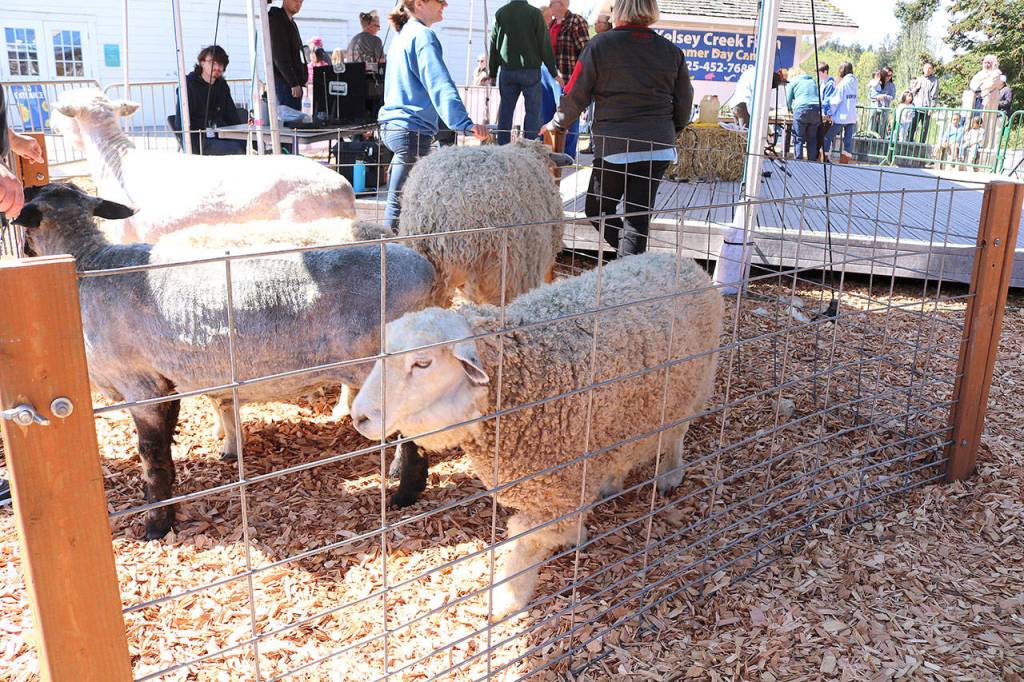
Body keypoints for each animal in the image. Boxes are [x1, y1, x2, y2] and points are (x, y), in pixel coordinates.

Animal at [16, 182, 439, 539]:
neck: (90, 266)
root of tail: (425, 270)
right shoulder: (165, 382)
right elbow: (165, 446)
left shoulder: (139, 384)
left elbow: (150, 455)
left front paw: (156, 524)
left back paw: (405, 492)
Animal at [349, 252, 723, 618]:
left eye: (423, 363)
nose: (359, 416)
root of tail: (678, 259)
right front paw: (575, 534)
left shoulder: (556, 485)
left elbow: (527, 541)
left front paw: (507, 600)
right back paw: (612, 482)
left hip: (693, 386)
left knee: (676, 434)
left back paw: (669, 474)